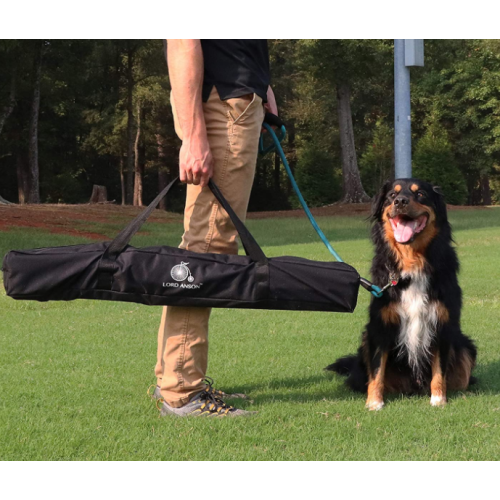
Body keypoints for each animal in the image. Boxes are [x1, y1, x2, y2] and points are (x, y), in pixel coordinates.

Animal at [326, 179, 478, 410]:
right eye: (391, 195)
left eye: (421, 193)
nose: (400, 201)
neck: (411, 262)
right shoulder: (380, 326)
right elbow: (377, 370)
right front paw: (374, 403)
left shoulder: (442, 323)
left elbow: (439, 371)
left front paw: (438, 400)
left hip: (466, 347)